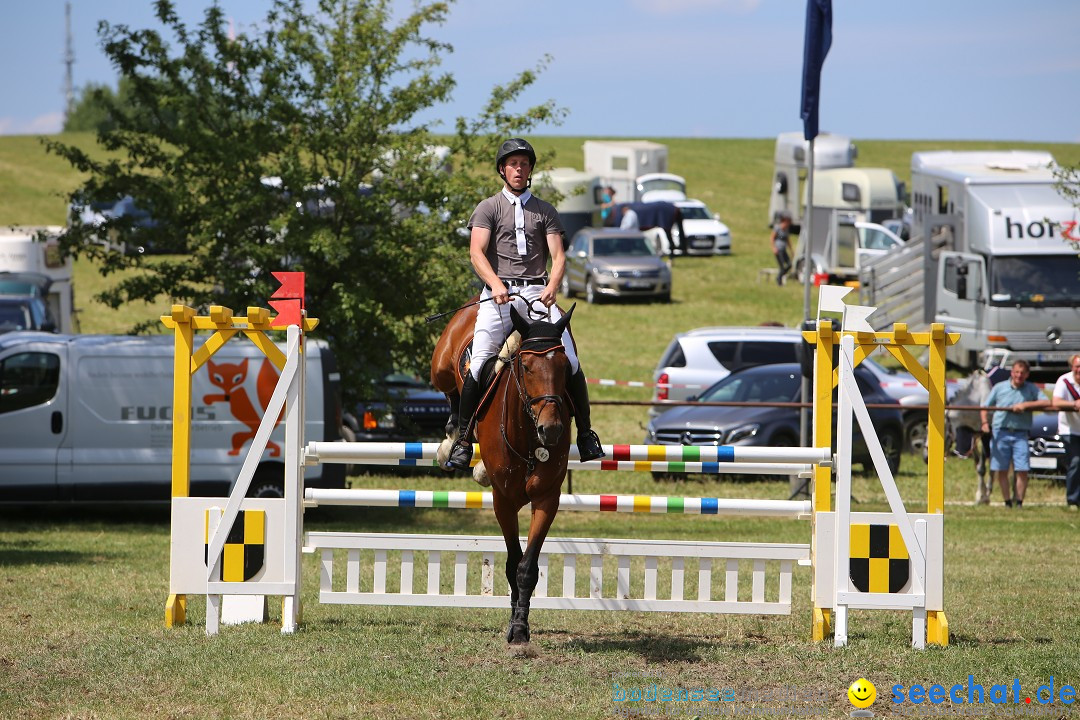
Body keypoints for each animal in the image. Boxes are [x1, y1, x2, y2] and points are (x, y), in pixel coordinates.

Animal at [427, 297, 574, 647]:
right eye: (527, 367)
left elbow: (527, 567)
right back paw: (455, 440)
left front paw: (520, 626)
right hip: (442, 367)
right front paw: (515, 627)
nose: (551, 430)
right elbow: (510, 564)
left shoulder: (547, 499)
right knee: (454, 390)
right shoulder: (503, 501)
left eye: (564, 369)